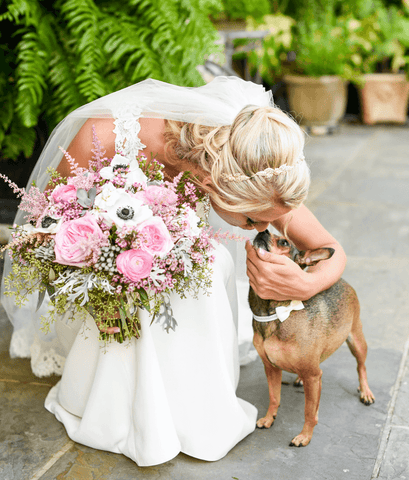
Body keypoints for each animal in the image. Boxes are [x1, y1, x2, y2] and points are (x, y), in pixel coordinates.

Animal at [247, 229, 374, 446]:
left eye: (284, 242)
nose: (262, 230)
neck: (276, 313)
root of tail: (342, 280)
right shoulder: (271, 368)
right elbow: (274, 397)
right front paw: (268, 418)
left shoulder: (313, 377)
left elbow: (309, 411)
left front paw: (304, 436)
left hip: (356, 341)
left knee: (361, 367)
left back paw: (365, 391)